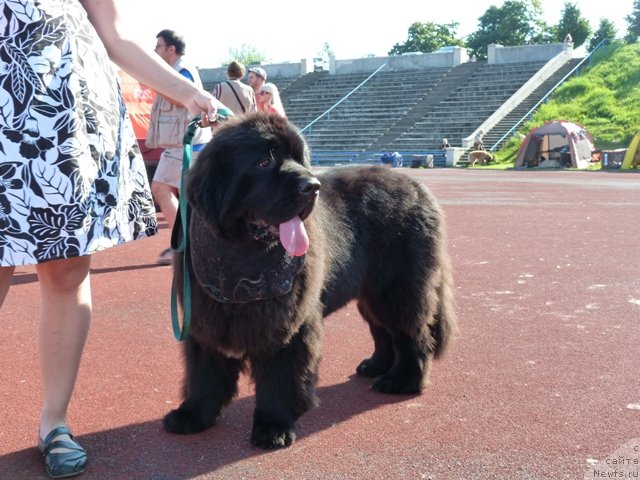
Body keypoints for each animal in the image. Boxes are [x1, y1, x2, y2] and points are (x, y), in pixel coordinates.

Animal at [162, 112, 458, 450]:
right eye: (264, 161)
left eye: (301, 160)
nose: (312, 186)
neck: (242, 257)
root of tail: (417, 185)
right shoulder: (205, 320)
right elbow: (204, 375)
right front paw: (192, 415)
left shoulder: (290, 326)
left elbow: (280, 379)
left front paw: (273, 426)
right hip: (372, 293)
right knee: (383, 331)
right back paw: (375, 366)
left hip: (399, 290)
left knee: (412, 336)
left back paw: (403, 381)